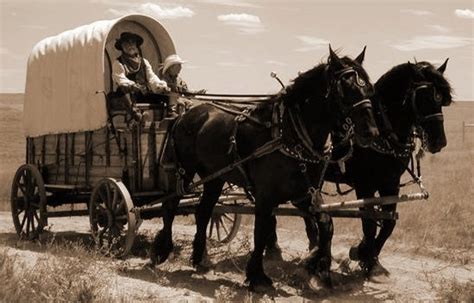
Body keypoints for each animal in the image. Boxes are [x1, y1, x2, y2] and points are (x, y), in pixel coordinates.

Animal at [150, 47, 380, 292]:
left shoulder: (303, 194)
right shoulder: (265, 195)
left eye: (369, 87)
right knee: (171, 204)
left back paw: (200, 258)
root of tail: (184, 113)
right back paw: (162, 249)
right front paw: (257, 276)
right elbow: (261, 231)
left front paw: (318, 267)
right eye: (346, 88)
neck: (289, 133)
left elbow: (326, 225)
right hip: (184, 170)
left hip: (214, 177)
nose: (371, 132)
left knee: (203, 212)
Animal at [268, 58, 454, 282]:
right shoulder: (365, 185)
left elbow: (388, 223)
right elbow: (369, 223)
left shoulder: (390, 184)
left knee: (305, 211)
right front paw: (364, 255)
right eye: (424, 96)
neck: (383, 130)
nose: (439, 141)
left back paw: (312, 248)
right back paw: (277, 248)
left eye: (441, 99)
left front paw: (370, 257)